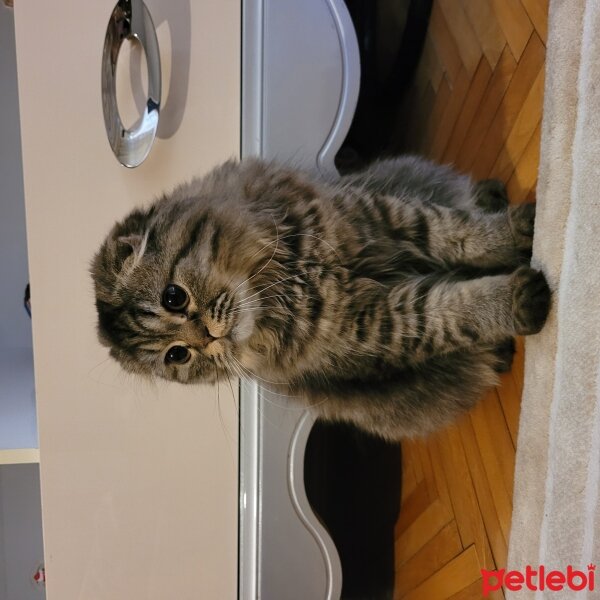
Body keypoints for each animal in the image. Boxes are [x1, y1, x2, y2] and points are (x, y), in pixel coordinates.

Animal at [91, 156, 552, 440]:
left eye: (174, 297)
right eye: (178, 355)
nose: (208, 339)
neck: (287, 280)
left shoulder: (382, 217)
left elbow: (458, 233)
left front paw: (518, 231)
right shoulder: (379, 322)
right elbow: (457, 309)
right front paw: (519, 298)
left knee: (463, 199)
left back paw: (492, 197)